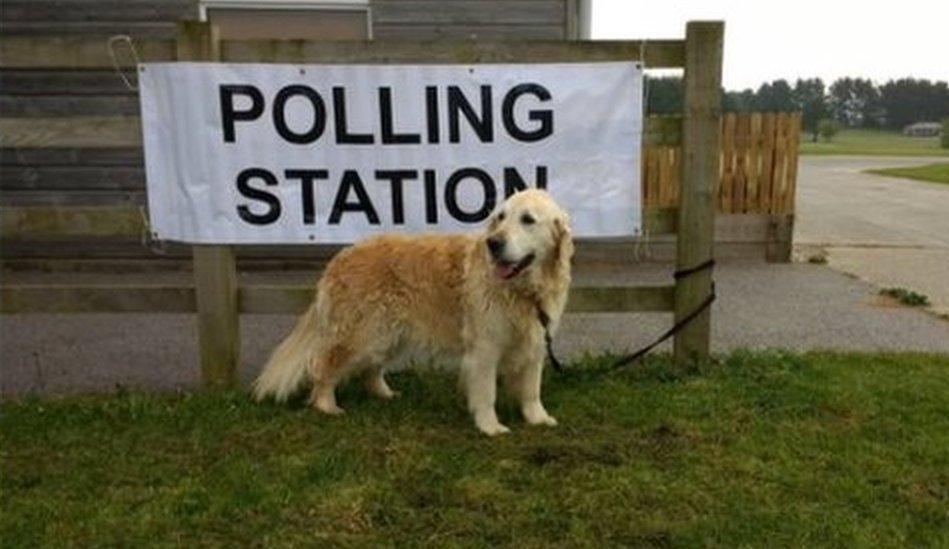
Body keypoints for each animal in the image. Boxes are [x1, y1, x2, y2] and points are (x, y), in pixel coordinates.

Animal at [252, 191, 572, 434]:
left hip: (387, 335)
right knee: (324, 366)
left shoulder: (535, 344)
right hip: (362, 335)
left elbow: (531, 390)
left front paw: (538, 419)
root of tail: (341, 257)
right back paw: (327, 406)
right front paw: (490, 427)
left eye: (528, 220)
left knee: (370, 370)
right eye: (501, 217)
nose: (493, 243)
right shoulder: (485, 348)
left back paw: (385, 394)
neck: (524, 291)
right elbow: (486, 393)